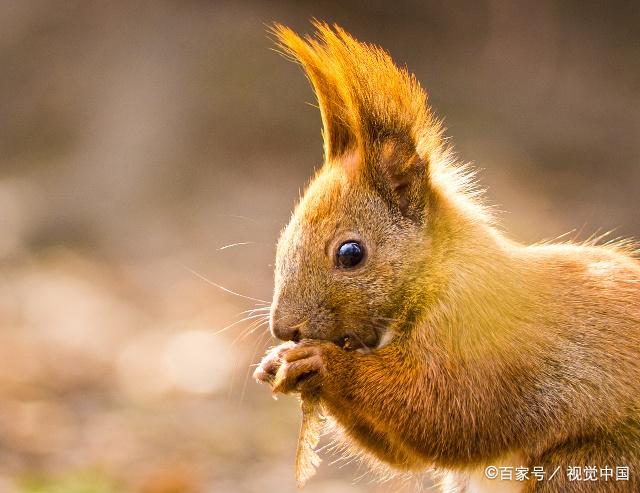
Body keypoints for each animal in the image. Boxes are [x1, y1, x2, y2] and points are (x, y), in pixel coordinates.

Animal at [252, 22, 640, 492]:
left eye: (350, 253)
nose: (283, 328)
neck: (438, 274)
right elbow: (406, 451)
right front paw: (274, 362)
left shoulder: (485, 329)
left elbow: (446, 413)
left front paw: (321, 361)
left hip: (587, 467)